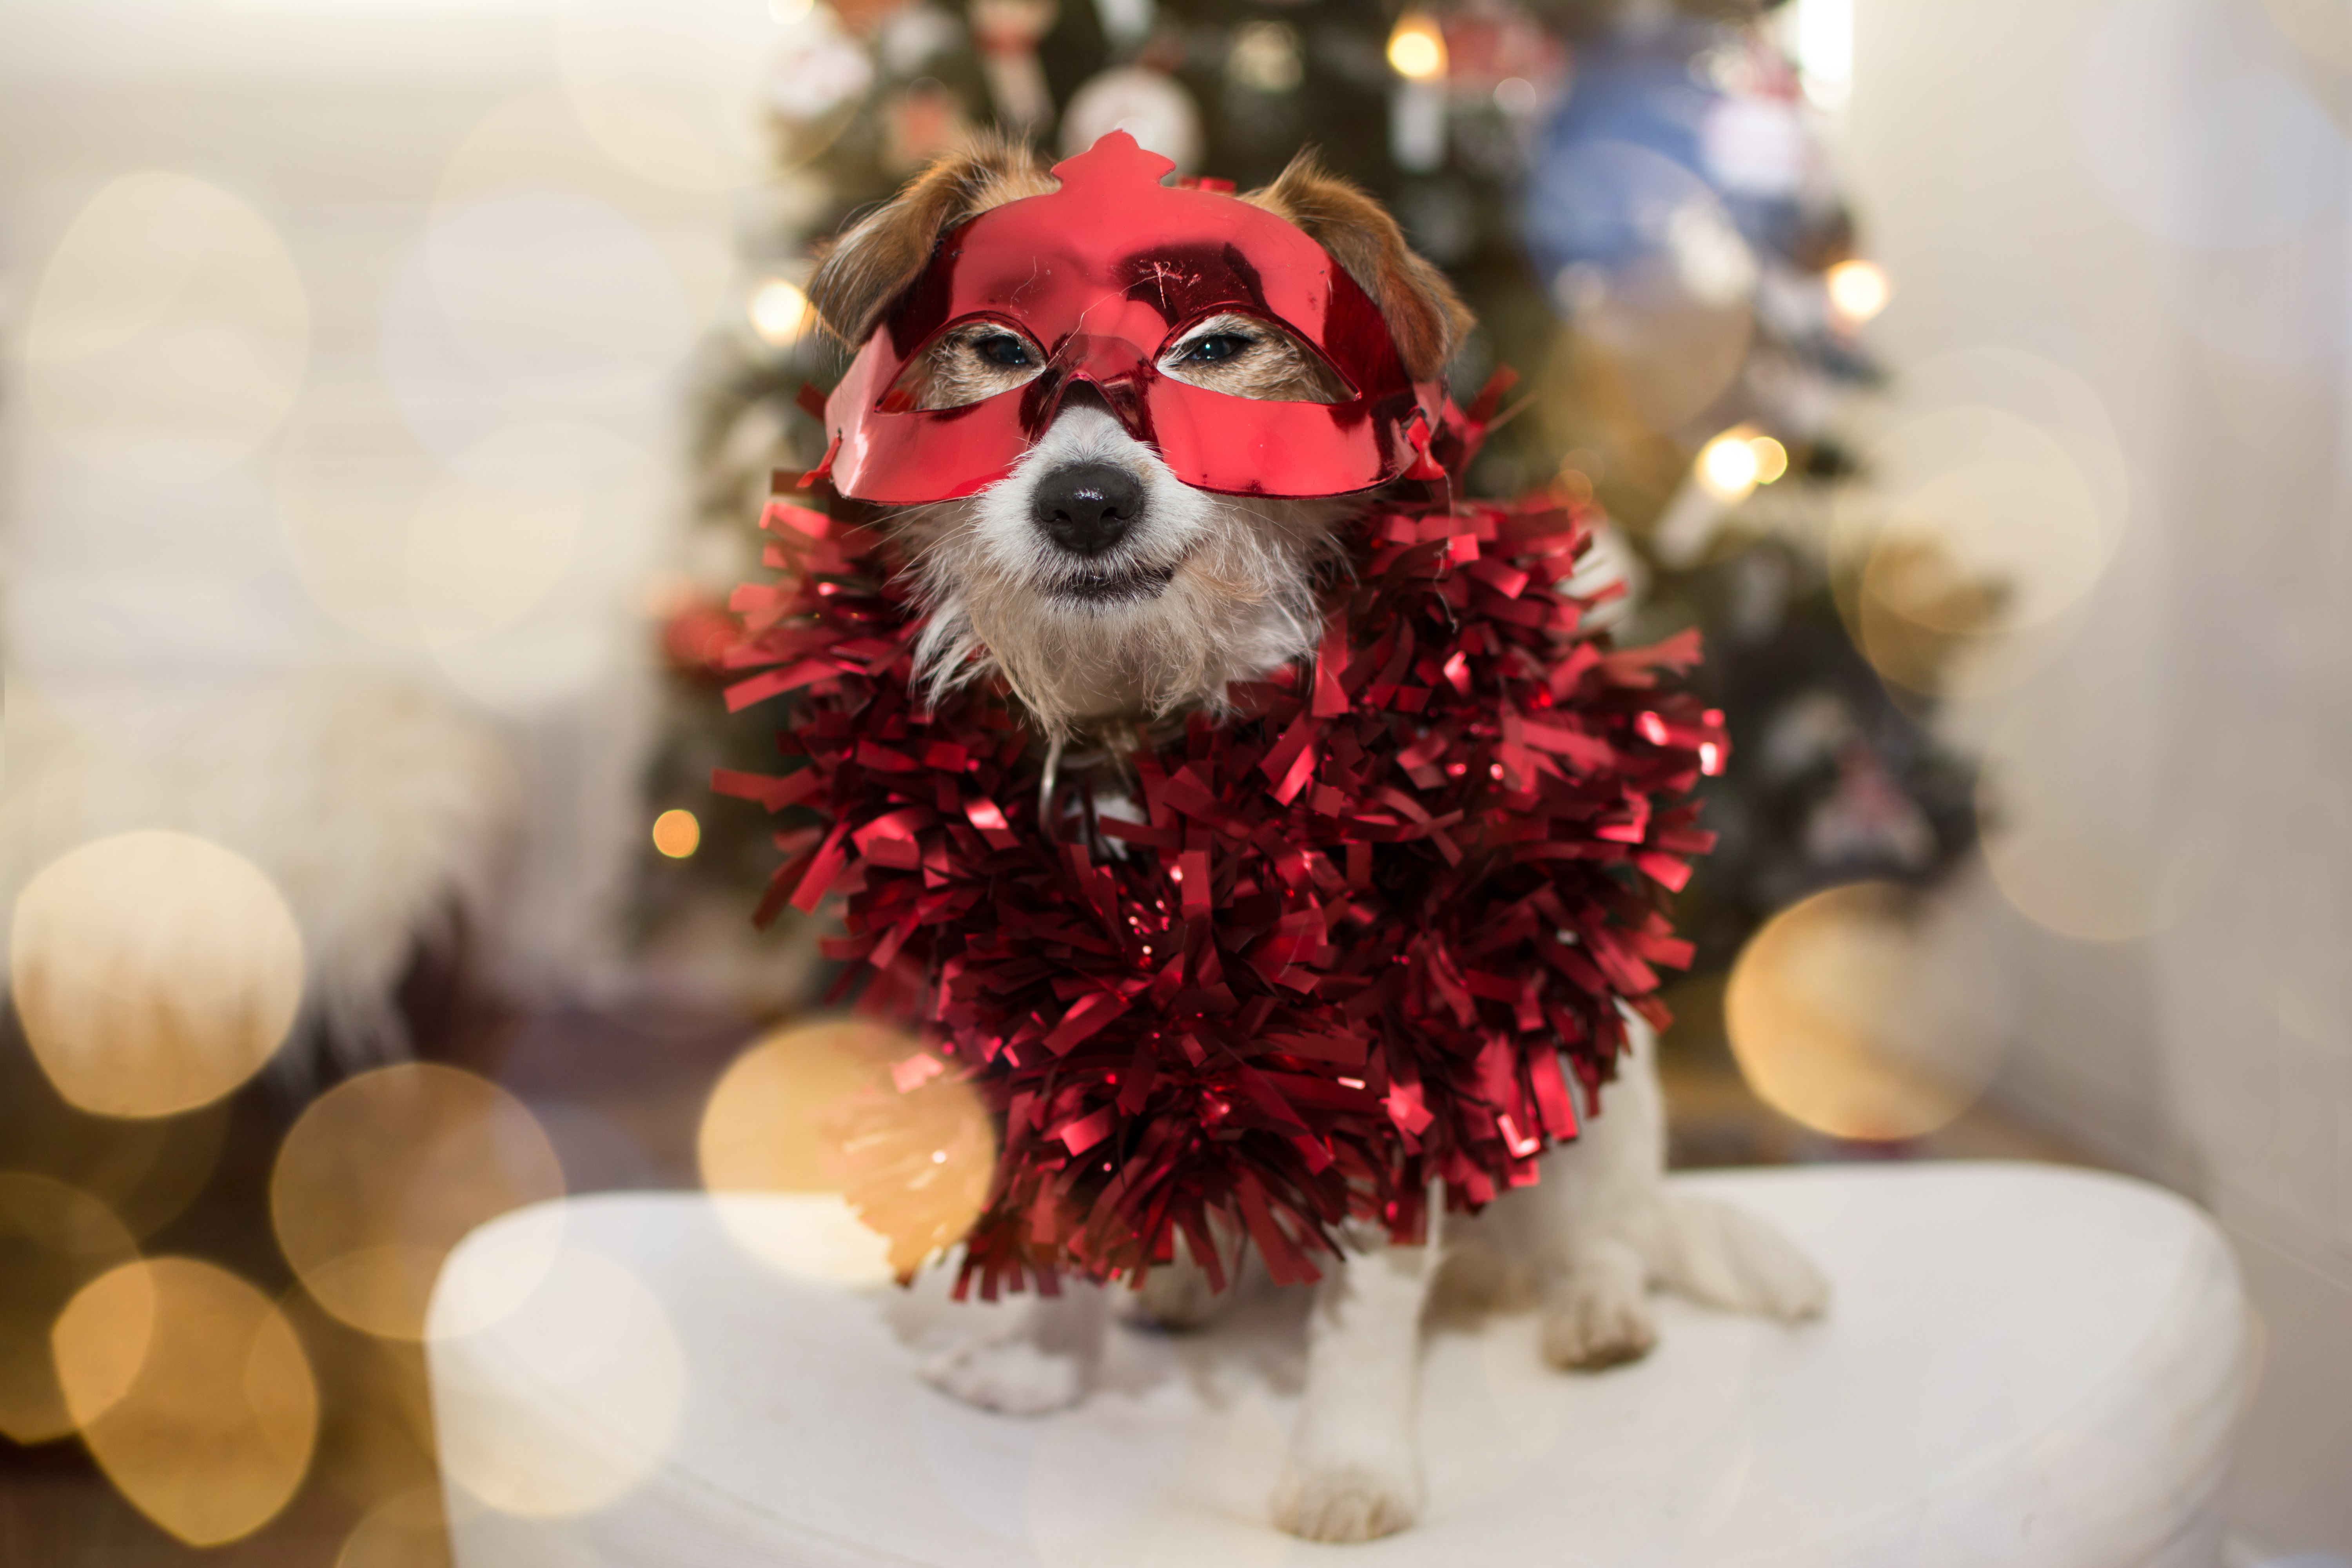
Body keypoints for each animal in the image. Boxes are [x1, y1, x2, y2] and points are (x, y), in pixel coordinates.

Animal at [800, 135, 1825, 1542]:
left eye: (1220, 345)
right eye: (1000, 347)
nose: (1085, 500)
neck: (1157, 720)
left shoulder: (1399, 1039)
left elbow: (1366, 1305)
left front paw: (1350, 1468)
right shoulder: (1040, 1005)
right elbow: (1052, 1196)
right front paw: (1041, 1361)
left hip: (1581, 1079)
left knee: (1603, 1228)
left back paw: (1593, 1308)